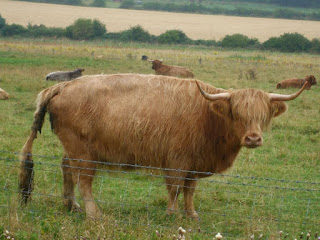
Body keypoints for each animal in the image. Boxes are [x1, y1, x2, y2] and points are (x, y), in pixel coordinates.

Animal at [18, 74, 308, 218]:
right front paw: (171, 214)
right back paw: (93, 213)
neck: (208, 116)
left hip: (73, 148)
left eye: (263, 115)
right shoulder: (177, 160)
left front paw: (191, 214)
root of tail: (62, 85)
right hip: (83, 152)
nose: (253, 138)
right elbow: (175, 188)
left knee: (67, 169)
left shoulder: (195, 163)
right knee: (84, 180)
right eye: (237, 112)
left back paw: (71, 206)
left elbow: (190, 191)